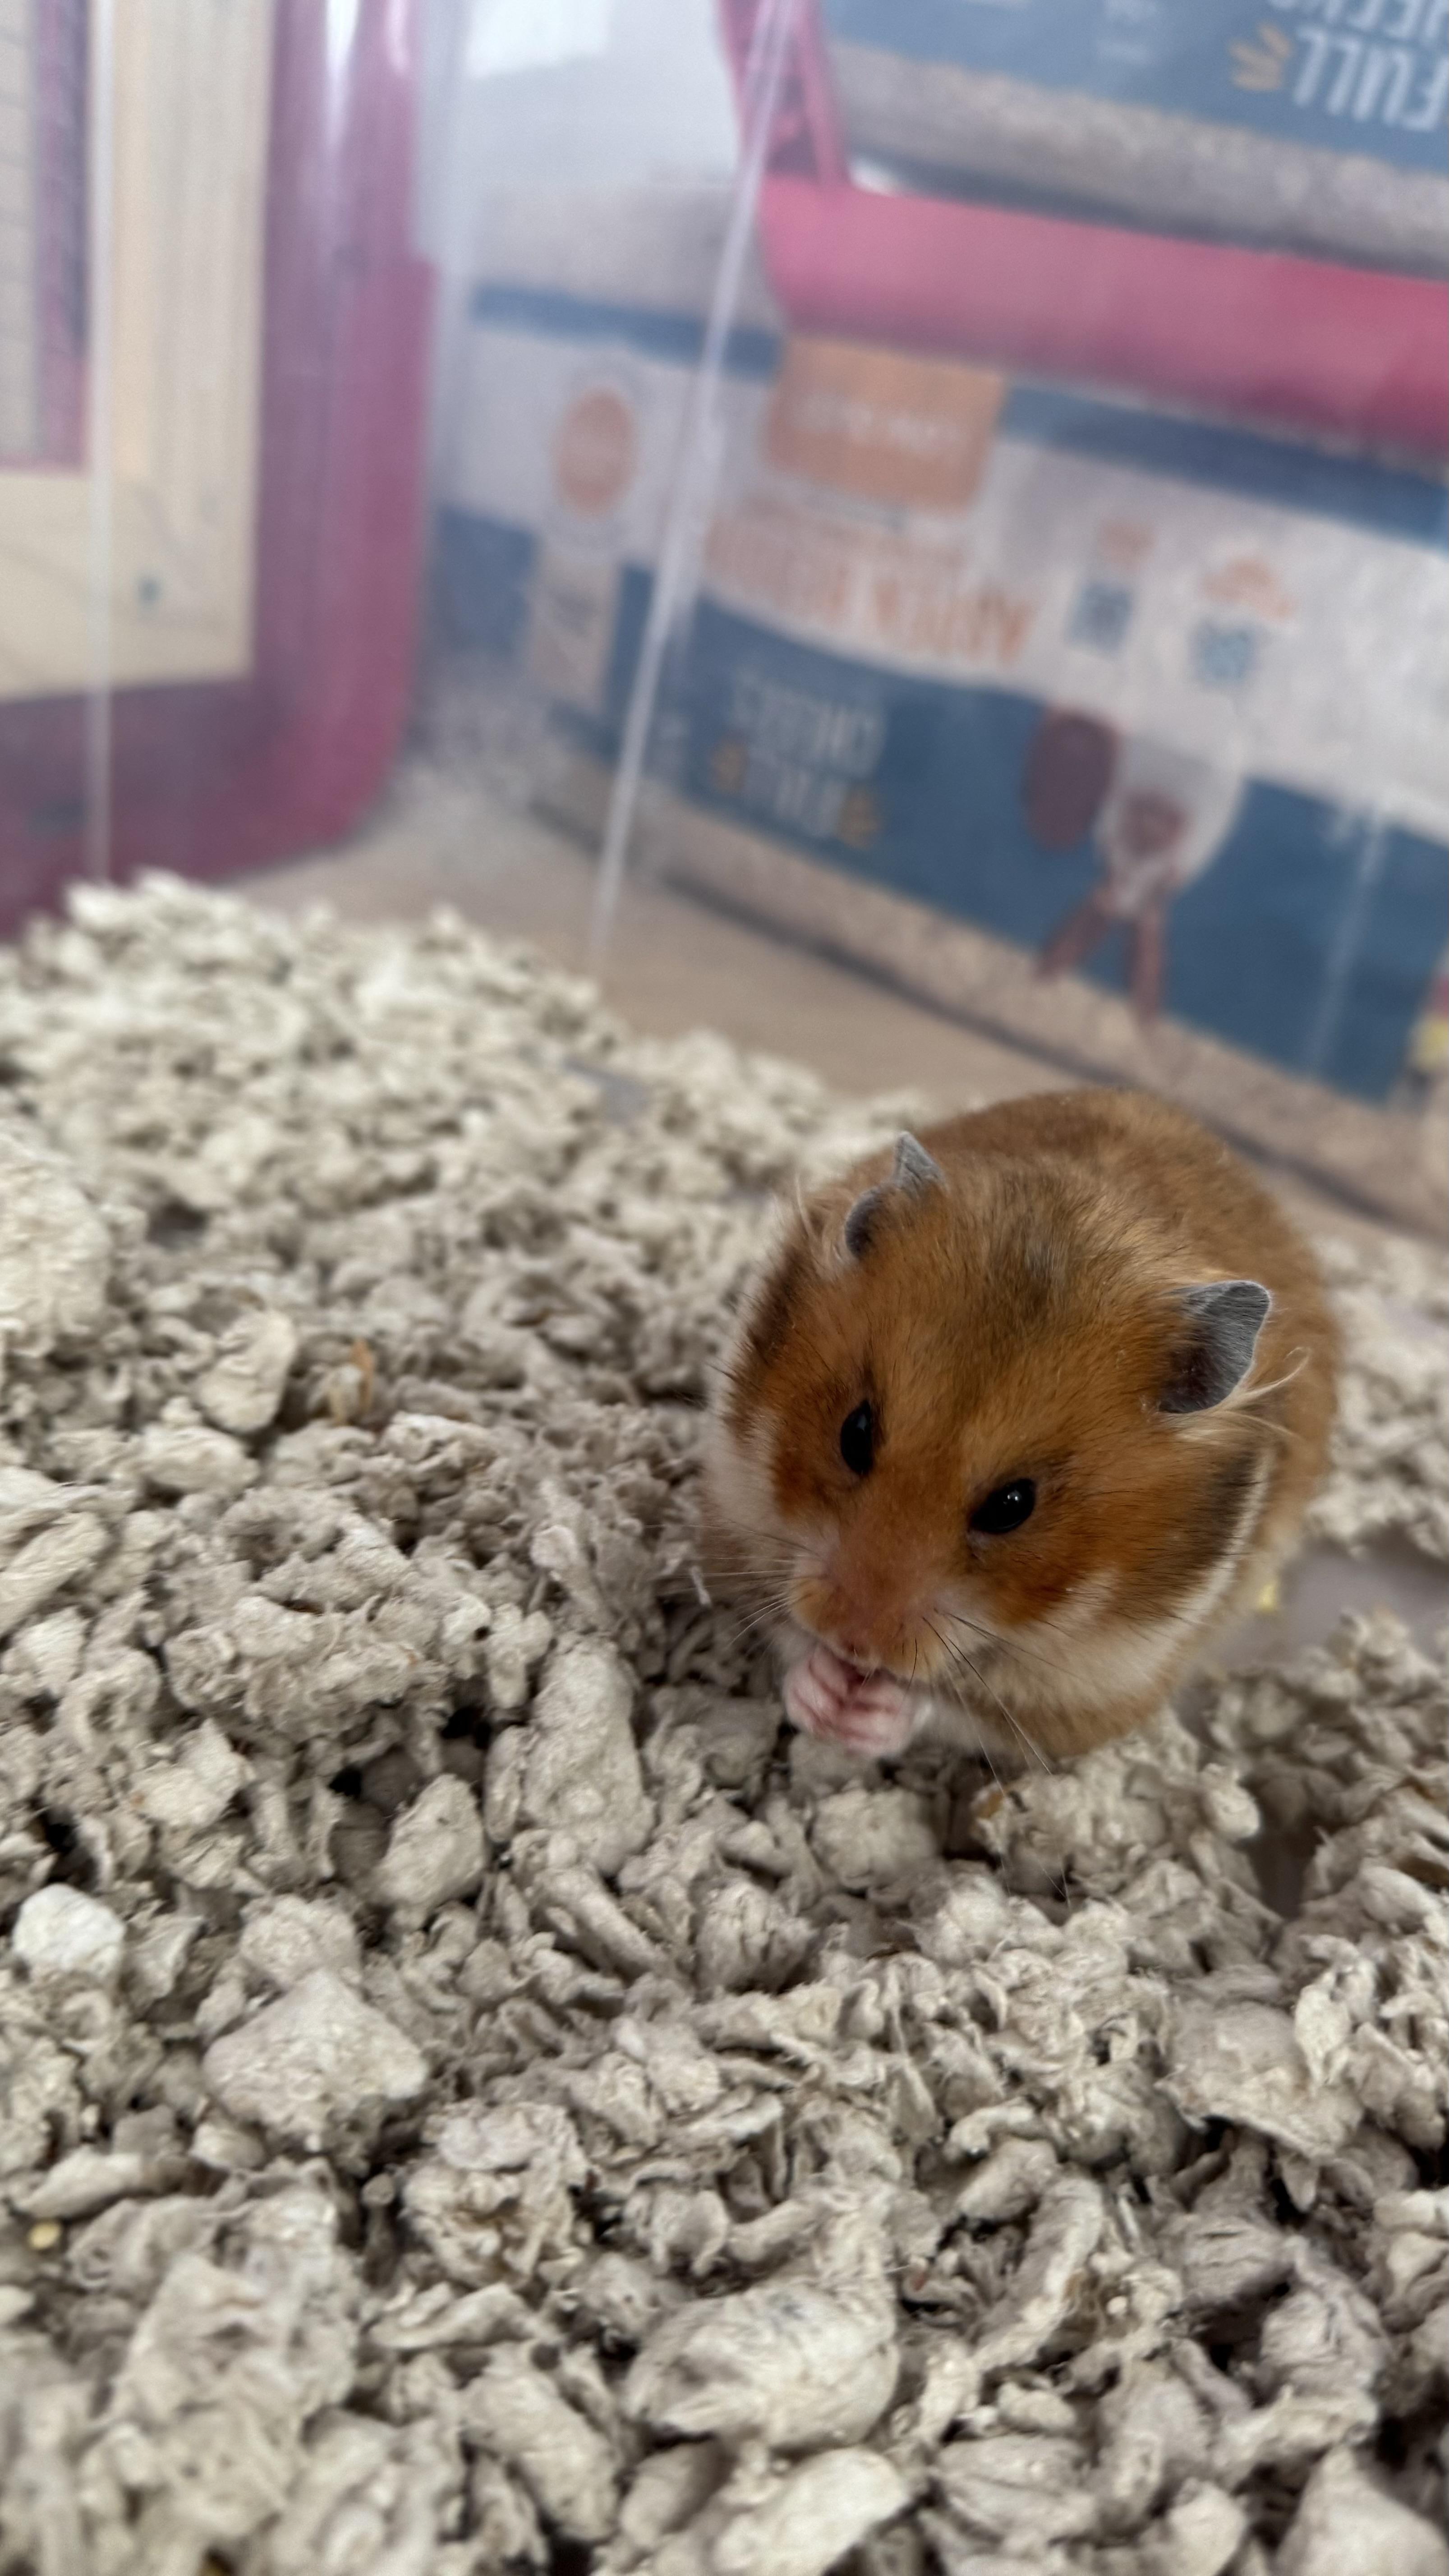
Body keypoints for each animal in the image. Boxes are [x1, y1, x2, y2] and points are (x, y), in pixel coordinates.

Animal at [701, 1089, 1338, 1766]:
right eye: (854, 1434)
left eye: (1013, 1506)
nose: (855, 1646)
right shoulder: (733, 1521)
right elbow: (785, 1631)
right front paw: (823, 1693)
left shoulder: (1098, 1689)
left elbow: (953, 1708)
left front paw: (867, 1712)